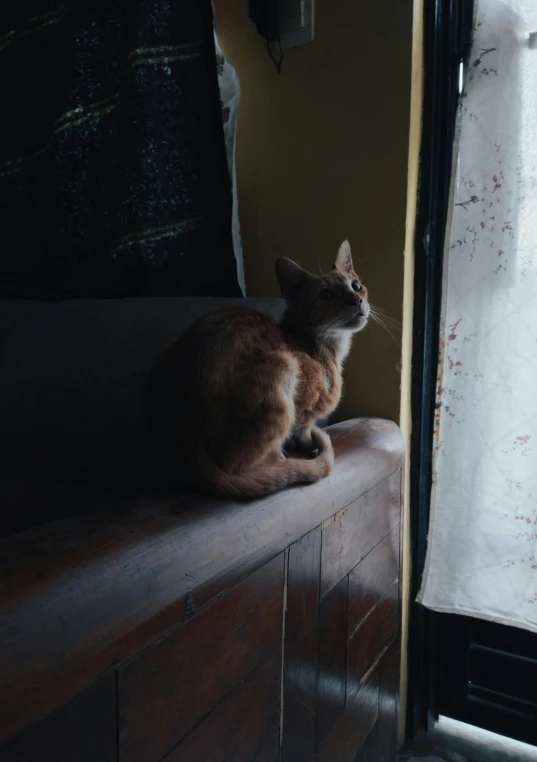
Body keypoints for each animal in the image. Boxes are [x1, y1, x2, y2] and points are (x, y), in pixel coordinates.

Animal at [147, 239, 368, 498]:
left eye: (356, 286)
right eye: (327, 294)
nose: (357, 300)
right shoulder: (303, 409)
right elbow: (303, 427)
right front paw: (305, 444)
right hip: (283, 368)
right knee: (243, 464)